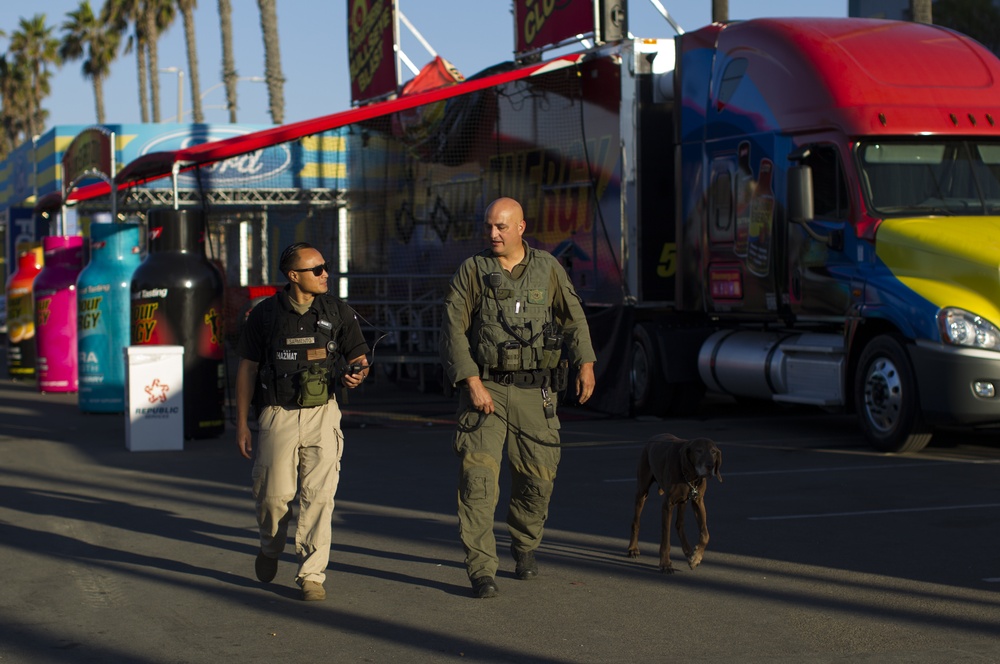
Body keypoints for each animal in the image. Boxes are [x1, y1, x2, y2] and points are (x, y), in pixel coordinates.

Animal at [624, 434, 720, 572]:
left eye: (713, 451)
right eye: (699, 451)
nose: (710, 466)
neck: (690, 476)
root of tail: (654, 437)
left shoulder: (698, 501)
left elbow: (705, 535)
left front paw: (695, 558)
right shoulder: (668, 505)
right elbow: (666, 537)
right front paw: (665, 563)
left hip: (682, 501)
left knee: (679, 524)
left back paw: (689, 552)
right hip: (642, 491)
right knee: (636, 522)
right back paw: (633, 549)